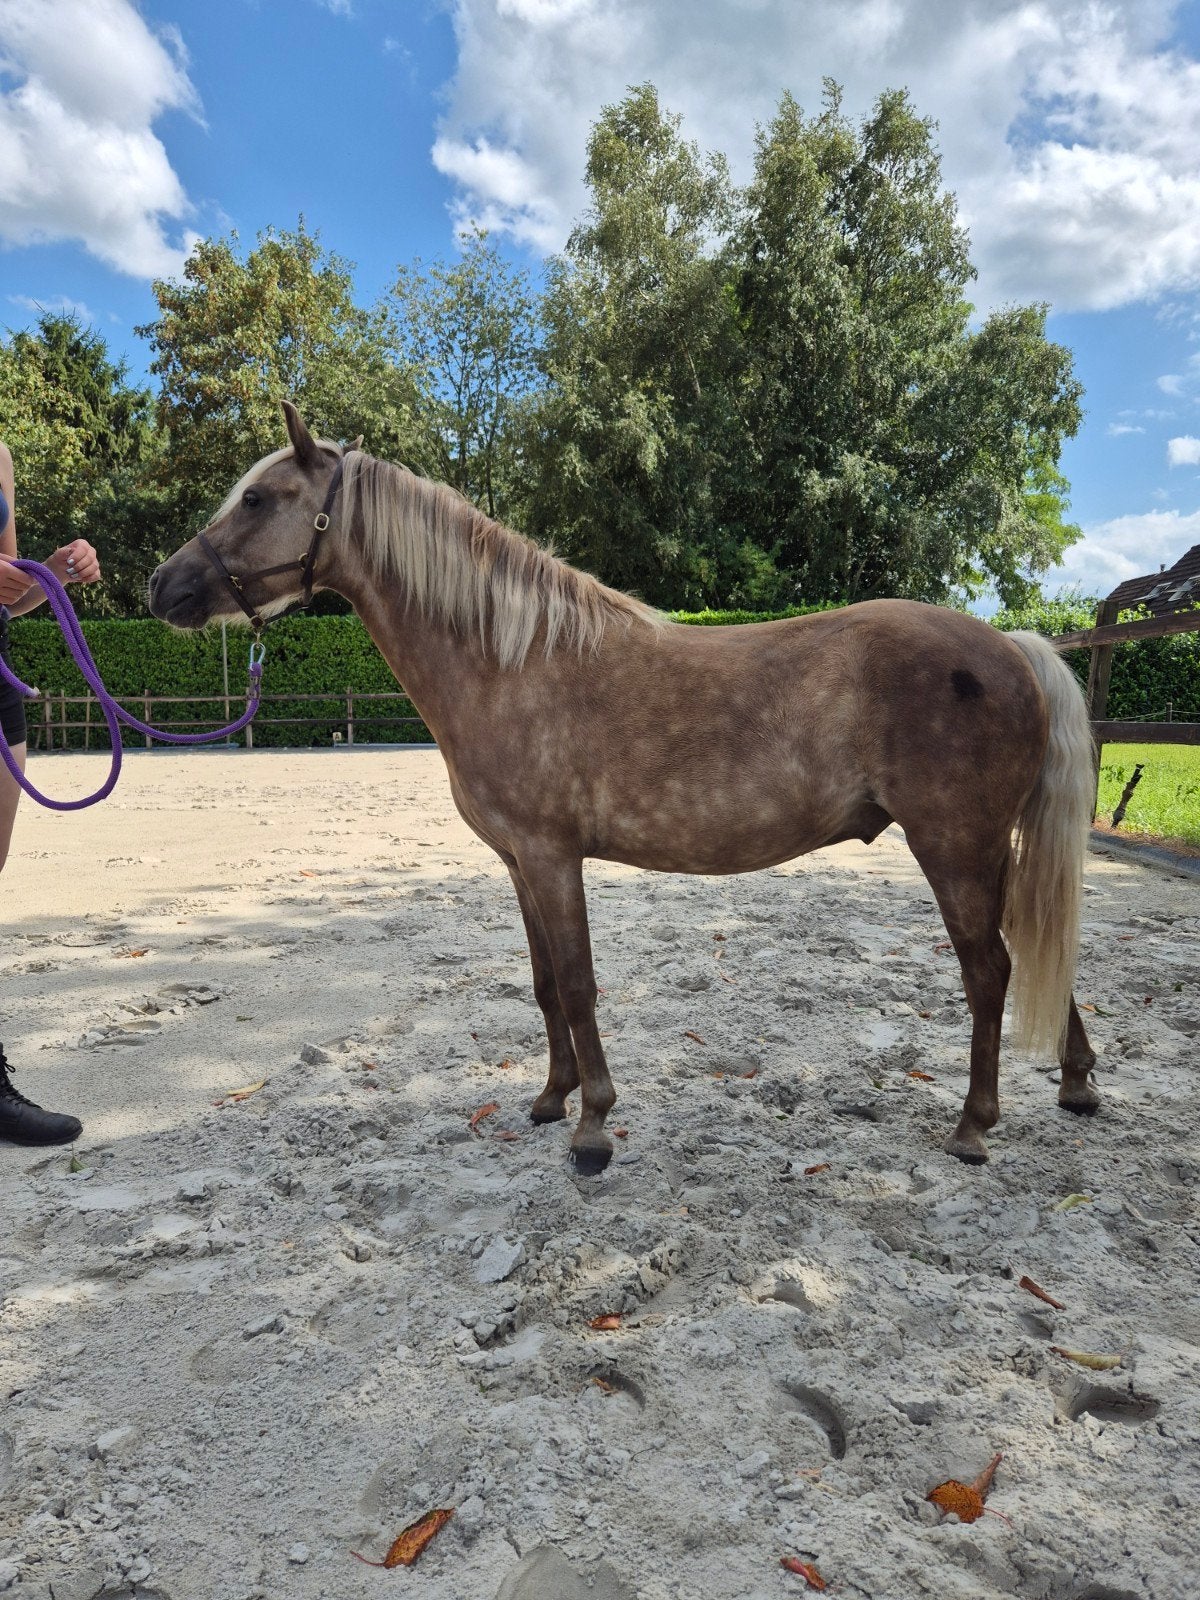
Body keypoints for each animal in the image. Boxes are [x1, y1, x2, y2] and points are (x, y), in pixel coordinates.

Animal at [148, 403, 1099, 1174]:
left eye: (259, 499)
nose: (163, 586)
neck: (510, 659)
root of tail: (1014, 646)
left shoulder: (551, 855)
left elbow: (577, 983)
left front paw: (594, 1128)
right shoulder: (520, 863)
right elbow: (542, 984)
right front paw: (550, 1099)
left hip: (956, 850)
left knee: (990, 971)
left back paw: (974, 1127)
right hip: (987, 853)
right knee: (1031, 956)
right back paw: (1078, 1083)